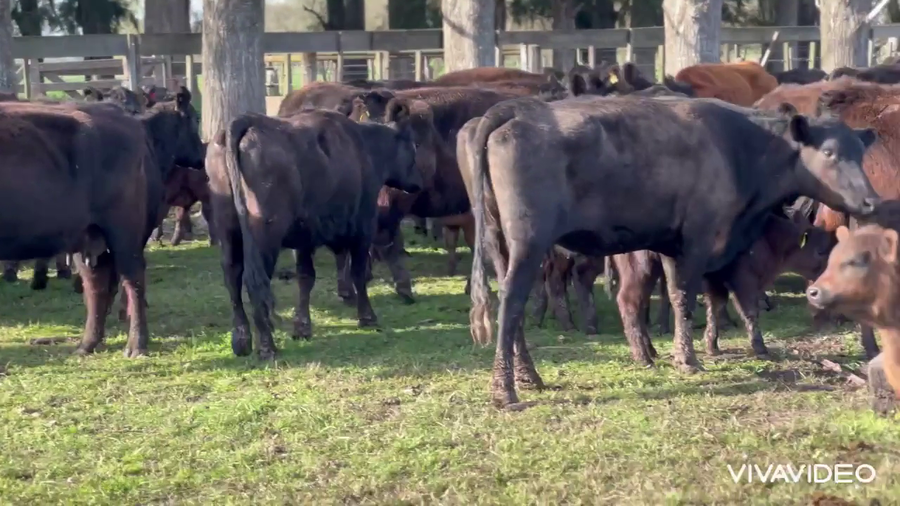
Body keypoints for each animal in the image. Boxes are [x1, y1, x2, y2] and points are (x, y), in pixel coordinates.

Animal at [205, 105, 423, 359]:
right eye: (413, 148)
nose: (419, 183)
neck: (364, 148)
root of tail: (247, 121)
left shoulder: (304, 238)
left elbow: (305, 277)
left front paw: (302, 327)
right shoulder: (363, 229)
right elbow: (358, 273)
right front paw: (367, 317)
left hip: (228, 230)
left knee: (232, 276)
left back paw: (241, 342)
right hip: (266, 235)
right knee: (255, 281)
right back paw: (267, 346)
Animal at [458, 95, 878, 406]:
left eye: (860, 152)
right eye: (829, 153)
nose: (871, 201)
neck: (740, 148)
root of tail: (516, 109)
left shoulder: (671, 243)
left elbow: (684, 296)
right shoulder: (698, 237)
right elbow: (686, 297)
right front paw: (688, 359)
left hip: (501, 244)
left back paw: (528, 376)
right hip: (528, 242)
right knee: (511, 302)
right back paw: (505, 390)